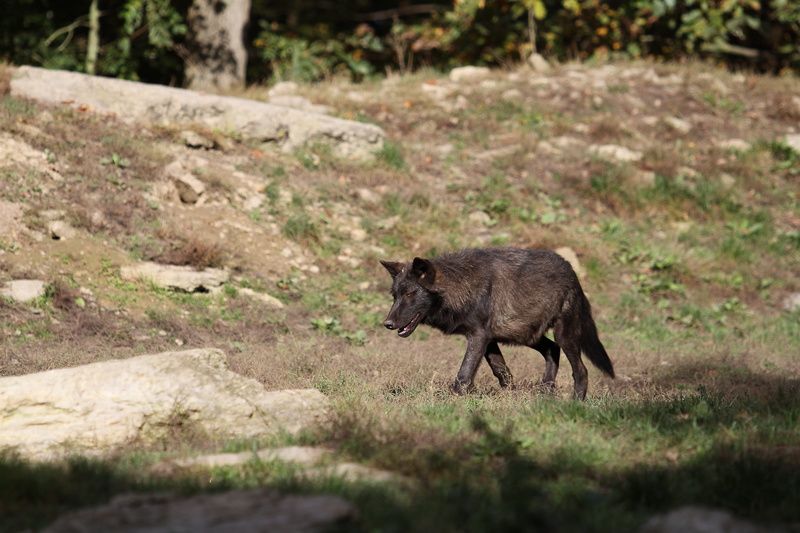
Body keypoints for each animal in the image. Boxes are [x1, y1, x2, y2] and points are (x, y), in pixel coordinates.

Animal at [380, 247, 614, 400]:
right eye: (395, 296)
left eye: (410, 294)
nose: (387, 323)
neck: (463, 285)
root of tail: (571, 270)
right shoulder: (488, 339)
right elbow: (501, 370)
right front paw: (511, 396)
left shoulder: (478, 337)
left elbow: (465, 373)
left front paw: (454, 399)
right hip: (527, 335)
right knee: (552, 350)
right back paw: (545, 392)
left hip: (563, 335)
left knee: (581, 370)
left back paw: (575, 402)